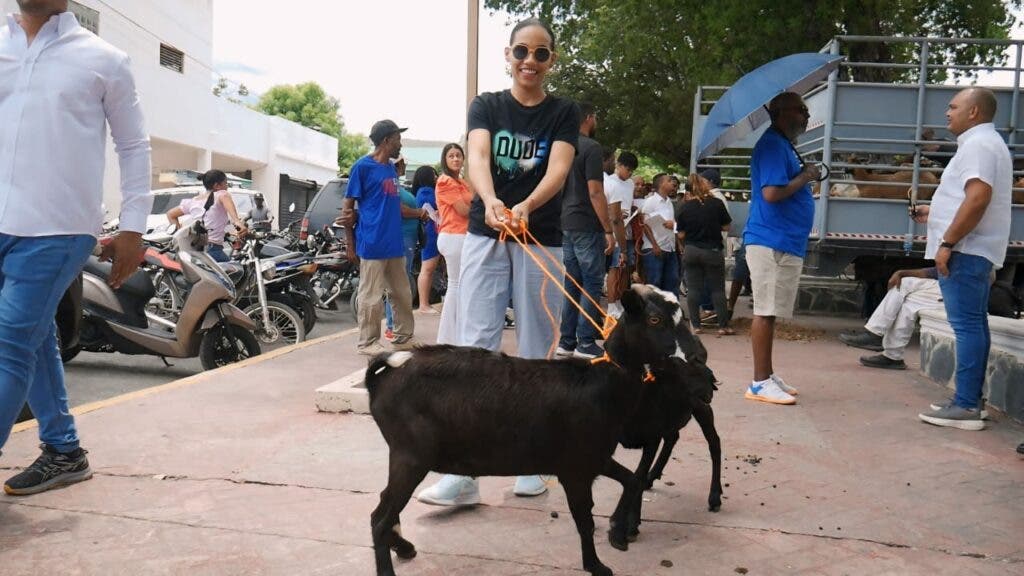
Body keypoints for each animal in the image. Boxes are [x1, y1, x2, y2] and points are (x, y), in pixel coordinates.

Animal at [366, 284, 688, 573]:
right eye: (654, 319)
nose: (680, 358)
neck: (604, 382)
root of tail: (383, 375)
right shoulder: (574, 467)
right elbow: (584, 519)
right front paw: (597, 566)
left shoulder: (595, 458)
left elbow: (632, 481)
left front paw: (619, 533)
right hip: (411, 456)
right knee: (380, 519)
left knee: (381, 507)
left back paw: (405, 547)